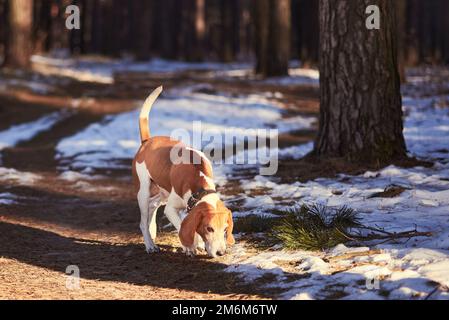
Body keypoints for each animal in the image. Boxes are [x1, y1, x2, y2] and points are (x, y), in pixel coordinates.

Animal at [131, 85, 234, 258]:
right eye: (209, 228)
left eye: (226, 229)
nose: (220, 253)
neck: (199, 184)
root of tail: (147, 141)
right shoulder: (171, 209)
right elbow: (181, 225)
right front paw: (191, 246)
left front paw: (197, 244)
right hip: (144, 191)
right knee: (143, 221)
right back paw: (150, 244)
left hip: (162, 193)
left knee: (153, 206)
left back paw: (152, 231)